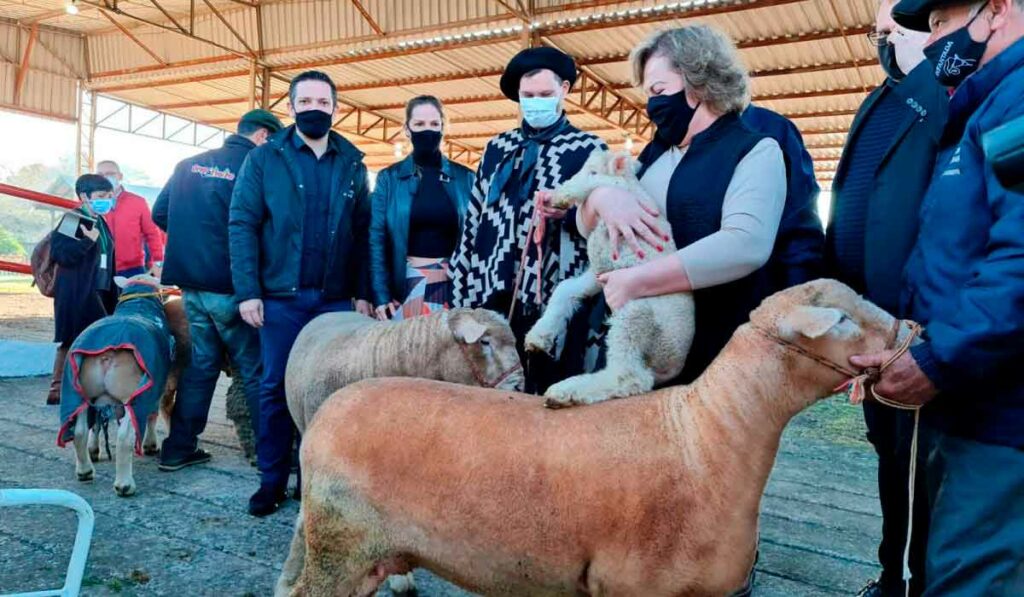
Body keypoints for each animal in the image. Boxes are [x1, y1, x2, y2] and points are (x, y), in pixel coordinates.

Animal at [528, 150, 696, 411]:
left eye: (592, 170)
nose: (548, 198)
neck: (632, 188)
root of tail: (673, 365)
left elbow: (594, 187)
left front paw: (561, 196)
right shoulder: (601, 273)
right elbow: (566, 289)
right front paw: (539, 336)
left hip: (636, 318)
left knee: (628, 376)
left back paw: (567, 391)